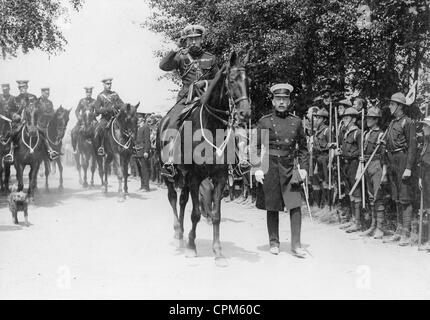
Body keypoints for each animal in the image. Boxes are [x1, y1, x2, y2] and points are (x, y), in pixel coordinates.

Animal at [158, 52, 252, 266]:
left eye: (248, 81)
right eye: (232, 80)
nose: (245, 113)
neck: (211, 127)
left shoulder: (219, 177)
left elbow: (216, 215)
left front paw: (218, 252)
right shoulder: (195, 177)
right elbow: (196, 214)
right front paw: (192, 248)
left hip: (184, 176)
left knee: (182, 200)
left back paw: (182, 235)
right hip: (170, 175)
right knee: (173, 197)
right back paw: (178, 233)